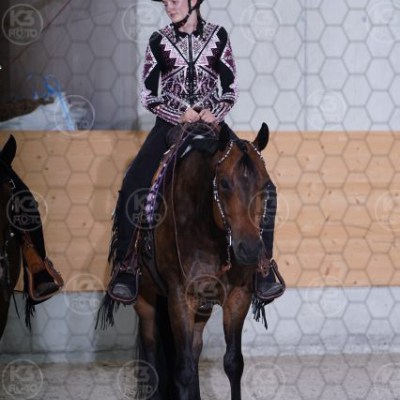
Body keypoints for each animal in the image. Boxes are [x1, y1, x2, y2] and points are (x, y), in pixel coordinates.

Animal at [133, 122, 272, 400]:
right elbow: (183, 369)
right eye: (225, 183)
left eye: (265, 184)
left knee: (196, 348)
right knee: (151, 345)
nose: (250, 249)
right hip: (144, 295)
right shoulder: (180, 297)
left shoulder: (237, 296)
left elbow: (233, 363)